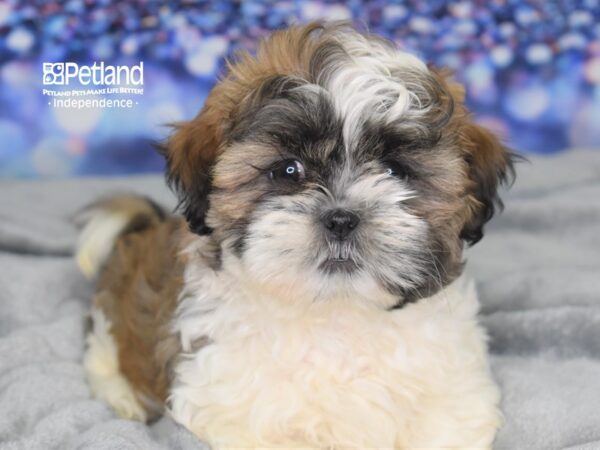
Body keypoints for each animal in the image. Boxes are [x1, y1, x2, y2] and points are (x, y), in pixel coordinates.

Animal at [76, 22, 516, 450]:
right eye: (289, 170)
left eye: (395, 171)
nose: (341, 218)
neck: (335, 315)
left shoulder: (456, 400)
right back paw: (124, 397)